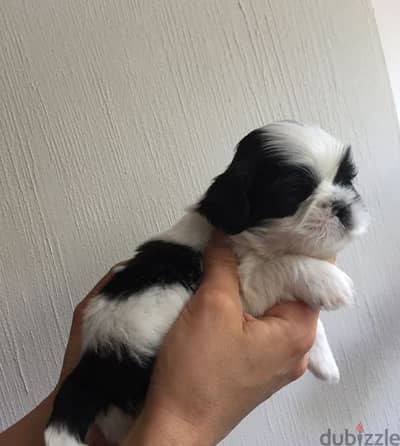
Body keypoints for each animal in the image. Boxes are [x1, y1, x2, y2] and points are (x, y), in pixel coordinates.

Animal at [44, 120, 368, 444]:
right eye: (294, 194)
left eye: (346, 180)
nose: (342, 206)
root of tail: (94, 359)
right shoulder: (249, 289)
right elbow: (282, 265)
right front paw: (331, 283)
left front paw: (324, 361)